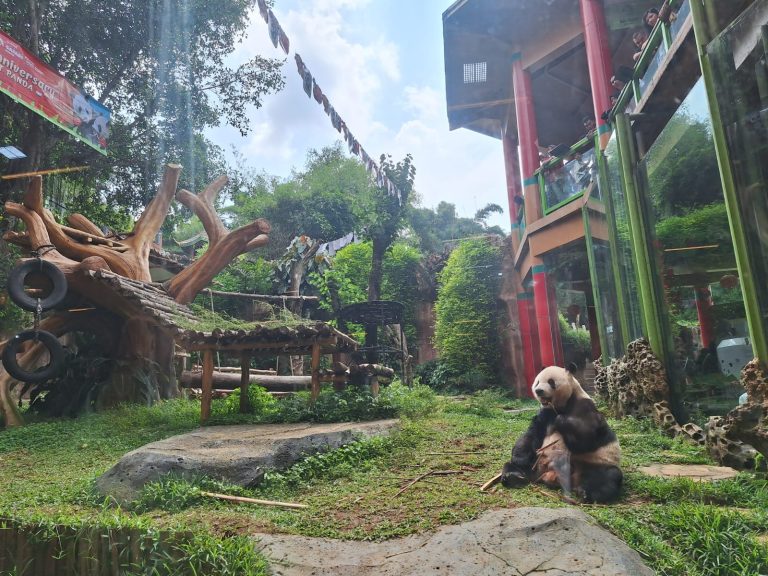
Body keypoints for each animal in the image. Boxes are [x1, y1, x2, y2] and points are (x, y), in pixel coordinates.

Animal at [498, 366, 624, 502]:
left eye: (551, 382)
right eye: (537, 382)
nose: (538, 391)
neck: (562, 405)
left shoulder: (585, 408)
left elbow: (586, 441)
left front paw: (561, 420)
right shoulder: (545, 413)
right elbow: (531, 434)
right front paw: (520, 458)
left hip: (593, 464)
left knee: (609, 475)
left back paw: (586, 493)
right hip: (536, 464)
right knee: (512, 466)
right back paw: (513, 477)